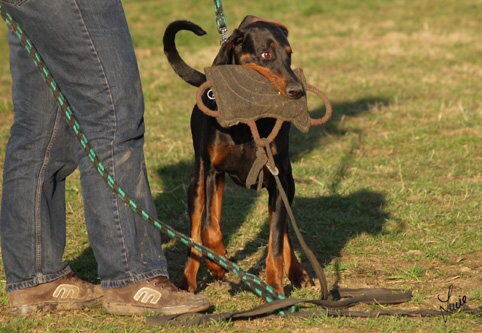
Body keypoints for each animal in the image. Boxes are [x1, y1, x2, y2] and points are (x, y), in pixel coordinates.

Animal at [162, 14, 312, 294]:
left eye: (290, 55)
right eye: (266, 53)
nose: (298, 90)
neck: (247, 120)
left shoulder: (278, 181)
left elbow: (276, 242)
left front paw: (274, 288)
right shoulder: (212, 172)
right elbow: (209, 229)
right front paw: (217, 263)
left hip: (288, 181)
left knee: (283, 227)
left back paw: (297, 272)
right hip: (197, 182)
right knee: (197, 229)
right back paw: (188, 280)